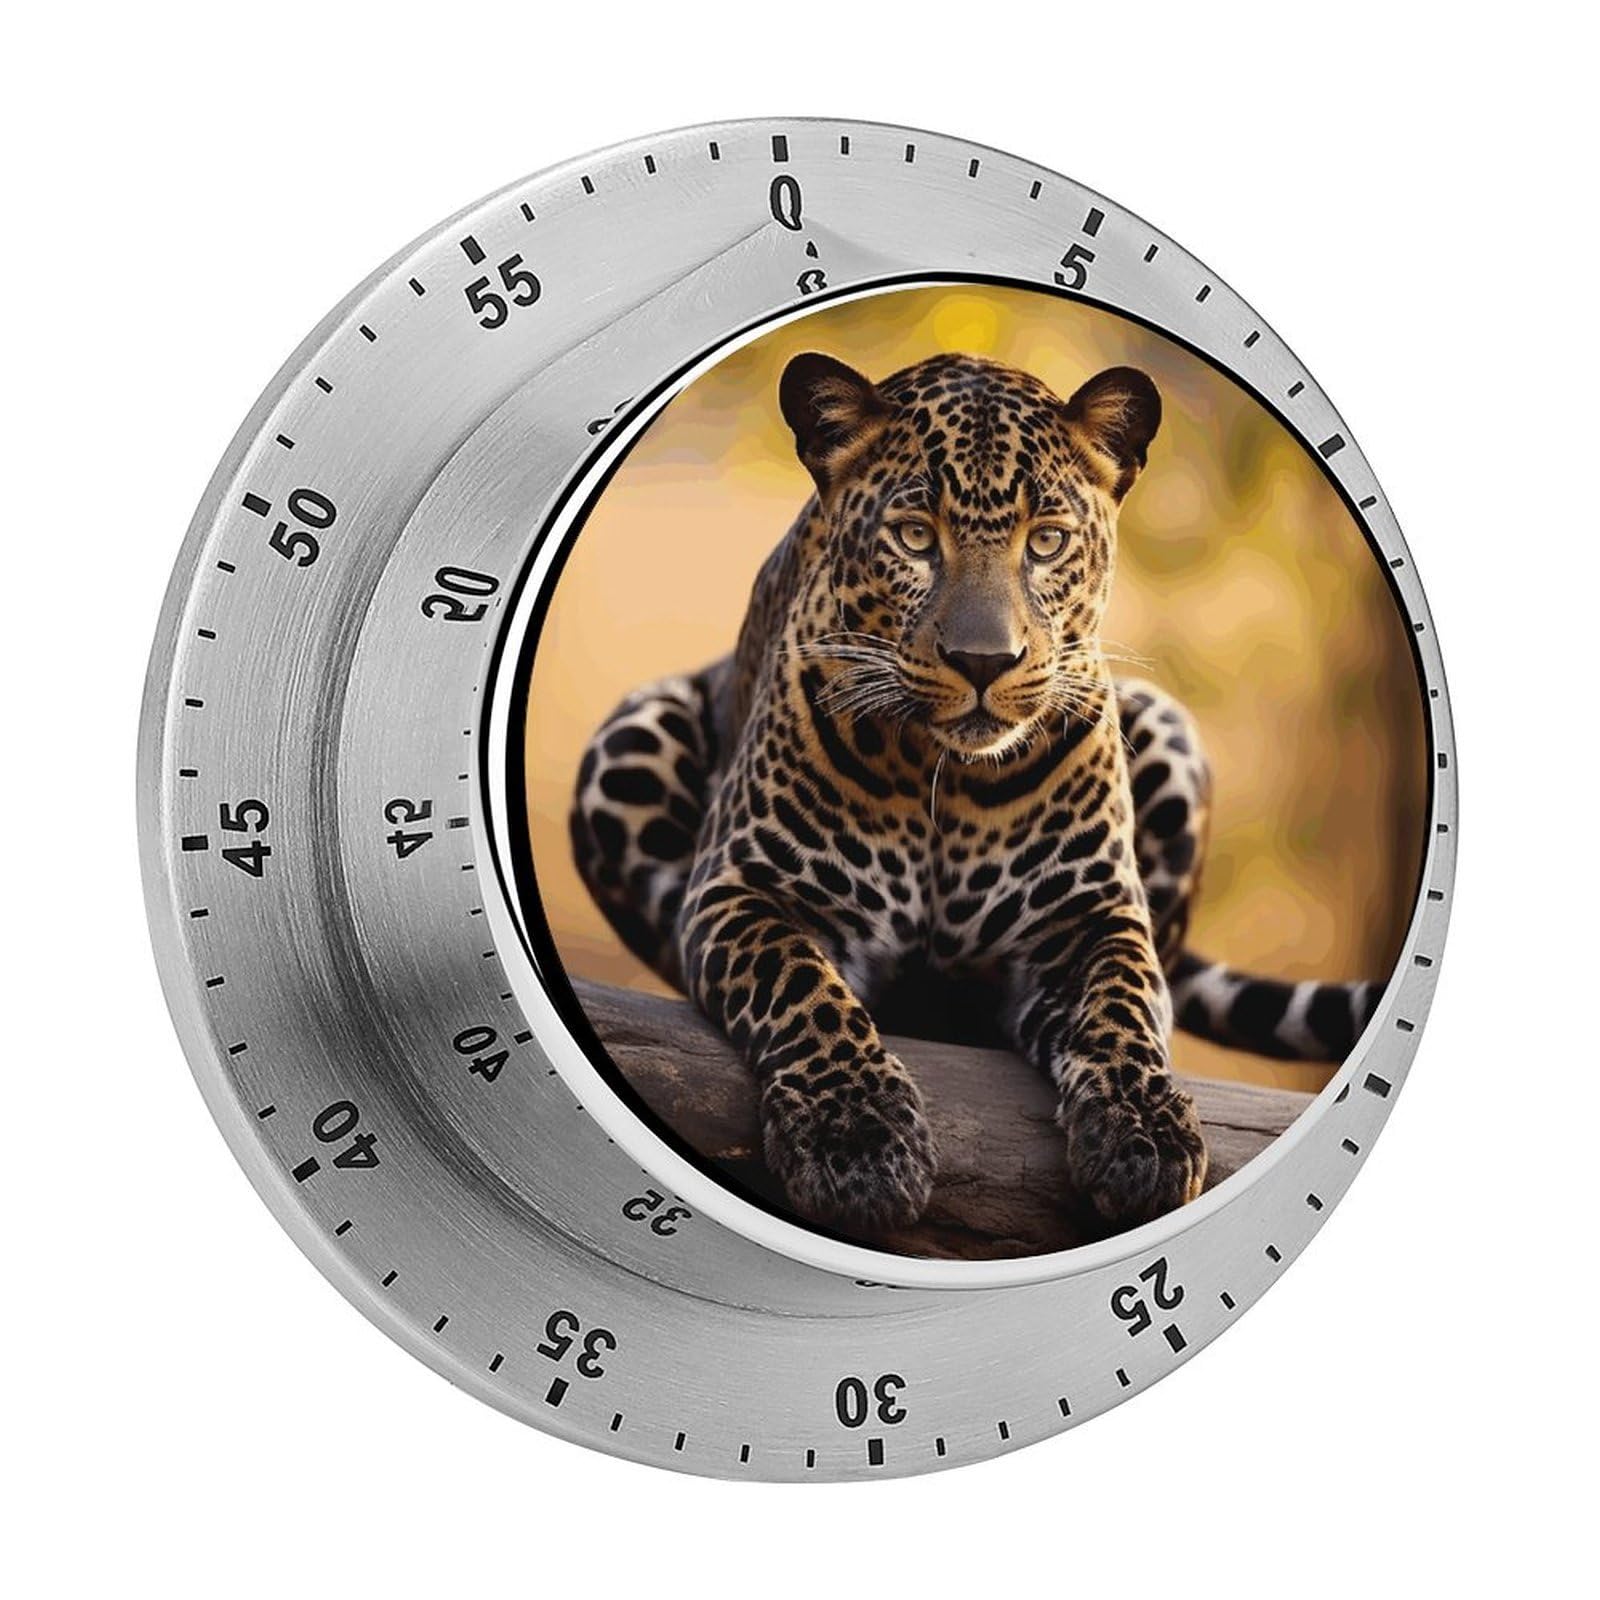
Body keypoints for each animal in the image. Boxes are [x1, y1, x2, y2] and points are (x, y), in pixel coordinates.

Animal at [570, 349, 1383, 1238]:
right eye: (916, 537)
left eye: (1048, 541)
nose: (984, 661)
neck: (944, 777)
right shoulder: (742, 888)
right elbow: (801, 987)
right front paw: (858, 1141)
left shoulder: (1087, 916)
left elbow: (1125, 1001)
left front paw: (1145, 1134)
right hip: (629, 736)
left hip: (1169, 728)